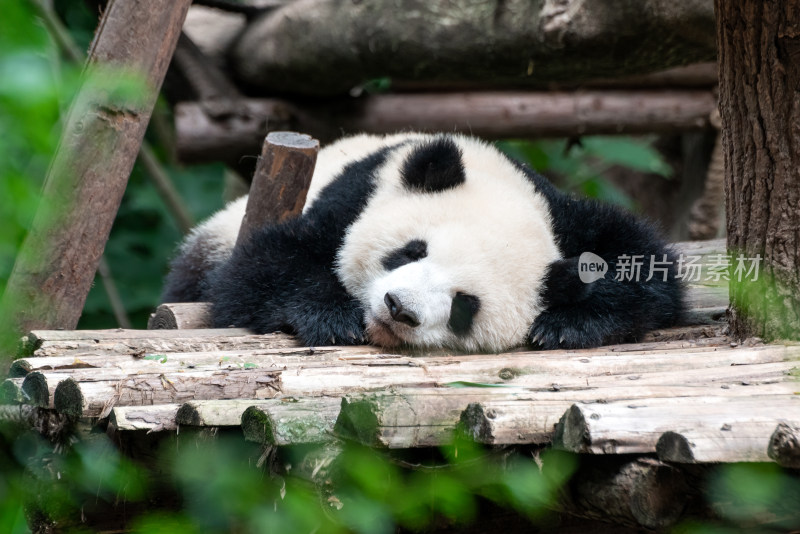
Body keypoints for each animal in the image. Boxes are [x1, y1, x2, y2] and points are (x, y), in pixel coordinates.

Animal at [162, 133, 680, 352]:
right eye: (412, 251)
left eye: (464, 304)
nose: (399, 308)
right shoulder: (351, 197)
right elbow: (258, 269)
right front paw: (332, 318)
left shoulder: (565, 216)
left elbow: (651, 275)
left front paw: (566, 324)